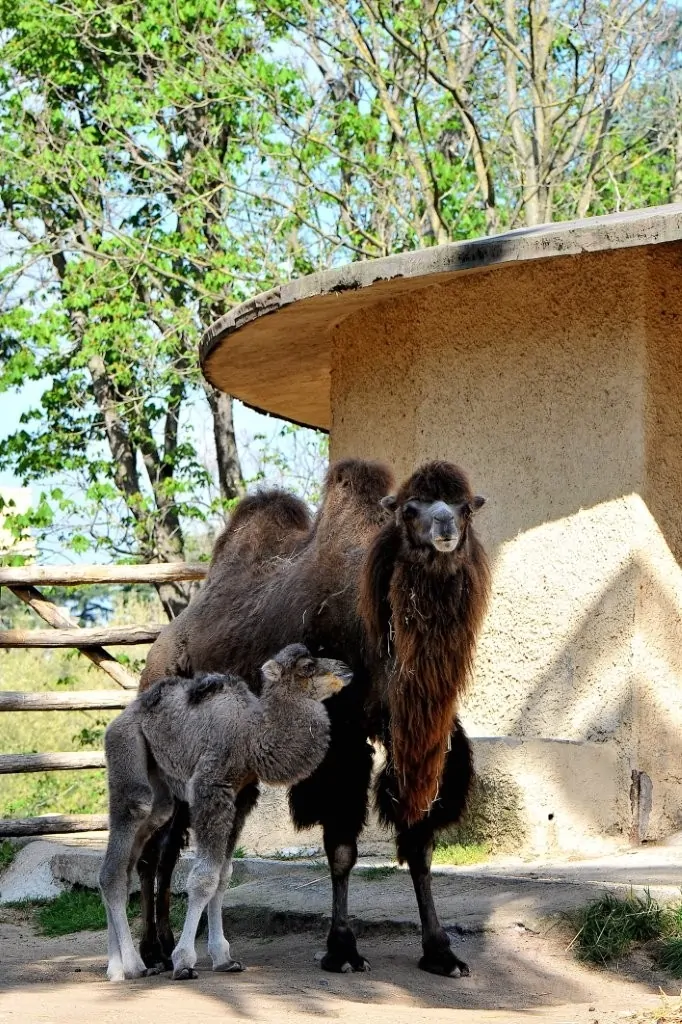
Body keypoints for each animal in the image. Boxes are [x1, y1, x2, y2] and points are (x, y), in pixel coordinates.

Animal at [99, 643, 350, 978]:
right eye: (307, 666)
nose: (346, 669)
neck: (250, 736)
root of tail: (119, 719)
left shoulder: (241, 798)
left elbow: (223, 876)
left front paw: (224, 958)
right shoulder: (211, 788)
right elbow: (204, 878)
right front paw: (183, 961)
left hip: (160, 784)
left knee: (134, 853)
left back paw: (115, 968)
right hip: (126, 746)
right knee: (121, 848)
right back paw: (135, 965)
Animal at [138, 460, 489, 978]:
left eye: (465, 507)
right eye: (410, 509)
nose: (444, 527)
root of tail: (156, 652)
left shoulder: (419, 741)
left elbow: (420, 844)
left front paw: (441, 952)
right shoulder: (339, 742)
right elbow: (342, 848)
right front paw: (342, 949)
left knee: (171, 846)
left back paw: (170, 947)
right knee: (153, 848)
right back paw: (151, 952)